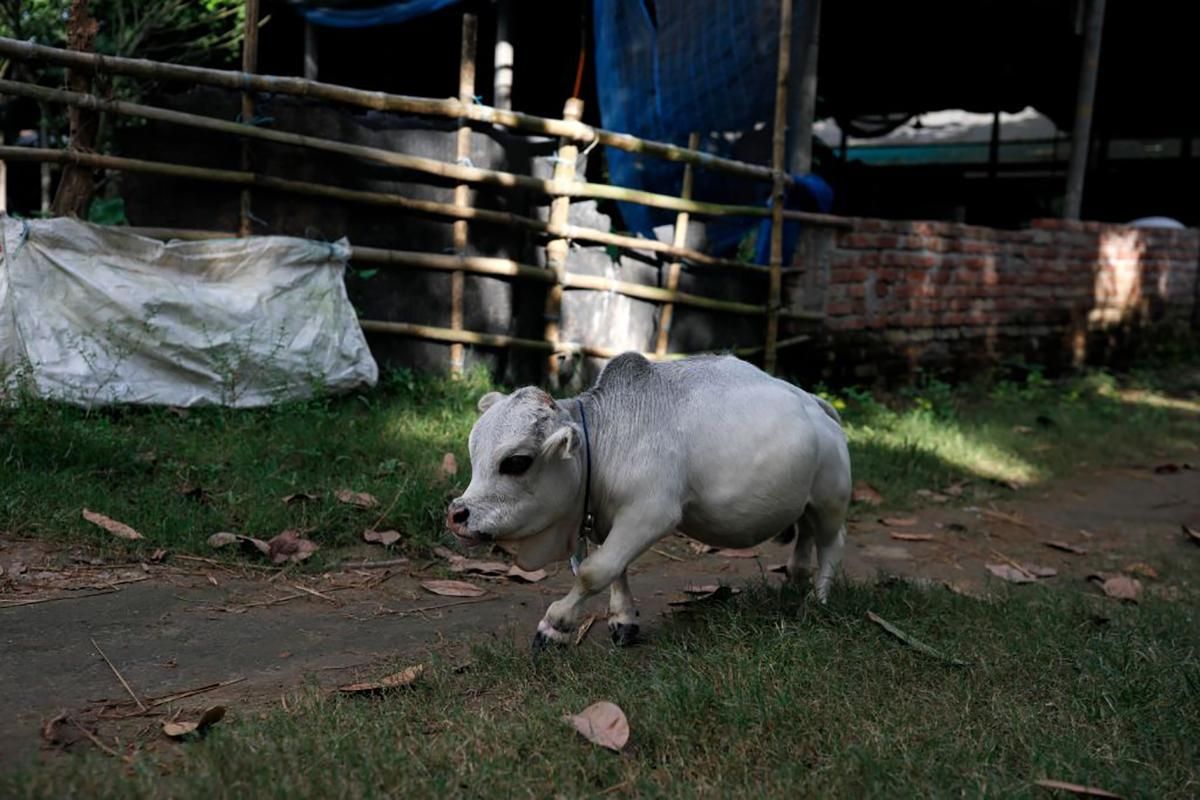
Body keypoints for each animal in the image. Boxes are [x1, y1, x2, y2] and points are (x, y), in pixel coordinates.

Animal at [446, 352, 849, 647]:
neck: (603, 439)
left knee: (831, 544)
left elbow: (594, 571)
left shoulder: (651, 514)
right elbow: (615, 569)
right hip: (804, 503)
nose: (456, 514)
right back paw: (796, 579)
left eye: (516, 462)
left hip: (831, 502)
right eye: (473, 452)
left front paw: (555, 625)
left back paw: (818, 599)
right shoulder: (606, 518)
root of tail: (814, 403)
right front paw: (623, 620)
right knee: (805, 536)